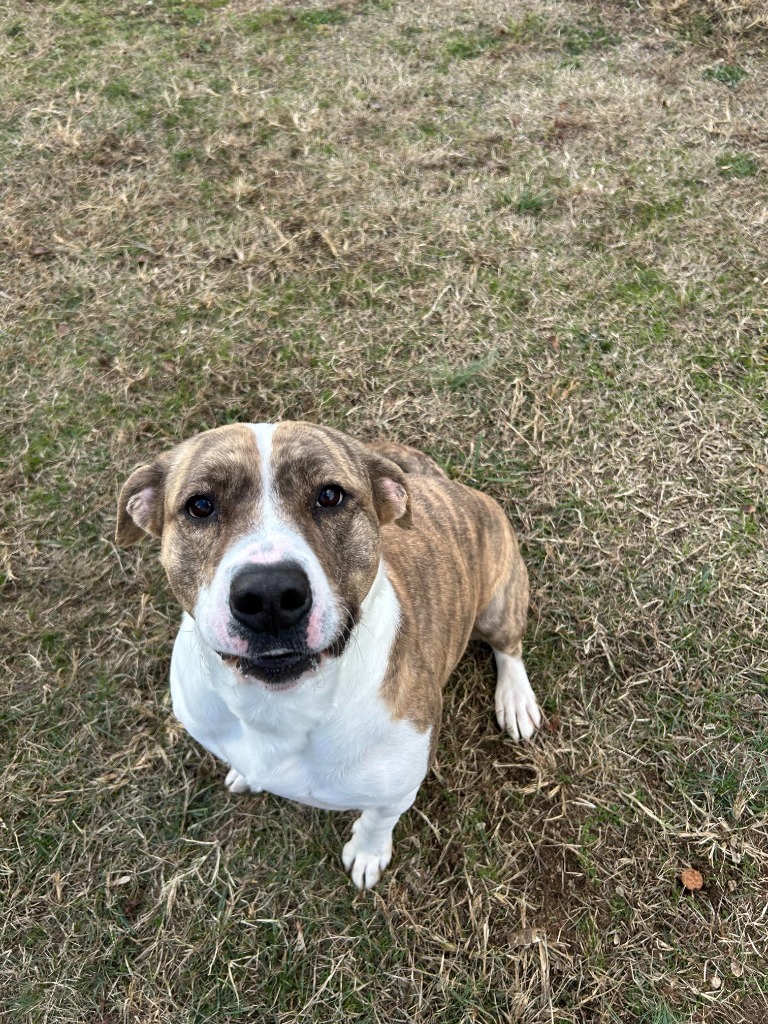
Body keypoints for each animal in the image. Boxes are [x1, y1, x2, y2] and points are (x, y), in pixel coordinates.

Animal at [118, 419, 540, 884]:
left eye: (330, 496)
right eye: (200, 505)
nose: (269, 596)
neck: (280, 706)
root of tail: (448, 486)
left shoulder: (397, 792)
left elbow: (377, 821)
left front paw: (368, 853)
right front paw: (244, 773)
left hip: (498, 603)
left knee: (509, 647)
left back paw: (516, 700)